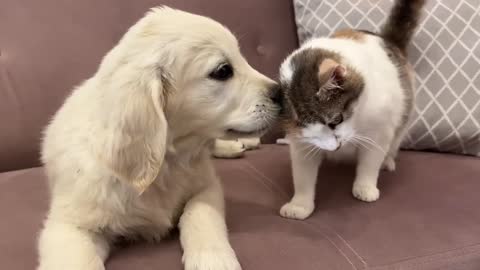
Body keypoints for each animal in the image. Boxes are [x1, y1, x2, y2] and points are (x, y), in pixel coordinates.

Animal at [38, 6, 282, 270]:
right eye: (223, 71)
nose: (282, 92)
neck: (168, 162)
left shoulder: (207, 186)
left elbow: (199, 212)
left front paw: (213, 258)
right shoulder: (70, 224)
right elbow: (76, 260)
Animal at [276, 0, 426, 220]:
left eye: (336, 120)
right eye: (307, 131)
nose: (334, 146)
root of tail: (387, 40)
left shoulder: (380, 130)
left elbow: (370, 161)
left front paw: (365, 187)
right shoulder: (301, 143)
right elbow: (303, 173)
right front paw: (300, 204)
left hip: (404, 116)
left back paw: (387, 161)